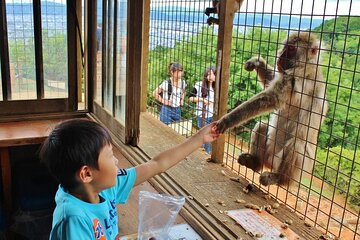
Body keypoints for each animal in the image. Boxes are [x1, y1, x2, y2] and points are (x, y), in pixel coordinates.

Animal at [215, 31, 328, 187]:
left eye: (291, 49)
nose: (280, 57)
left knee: (297, 145)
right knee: (262, 126)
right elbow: (270, 81)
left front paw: (227, 121)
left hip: (297, 170)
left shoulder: (298, 74)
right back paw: (255, 162)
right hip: (268, 155)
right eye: (285, 46)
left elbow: (272, 98)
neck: (307, 63)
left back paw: (278, 178)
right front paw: (258, 62)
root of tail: (271, 165)